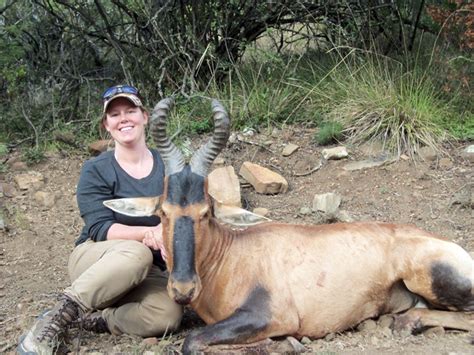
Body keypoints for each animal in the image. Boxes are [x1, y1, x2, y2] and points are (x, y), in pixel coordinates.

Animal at [104, 98, 474, 354]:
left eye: (206, 212)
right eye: (163, 212)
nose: (182, 290)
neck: (233, 256)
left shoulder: (273, 316)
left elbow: (192, 341)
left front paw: (283, 345)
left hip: (428, 277)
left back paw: (408, 323)